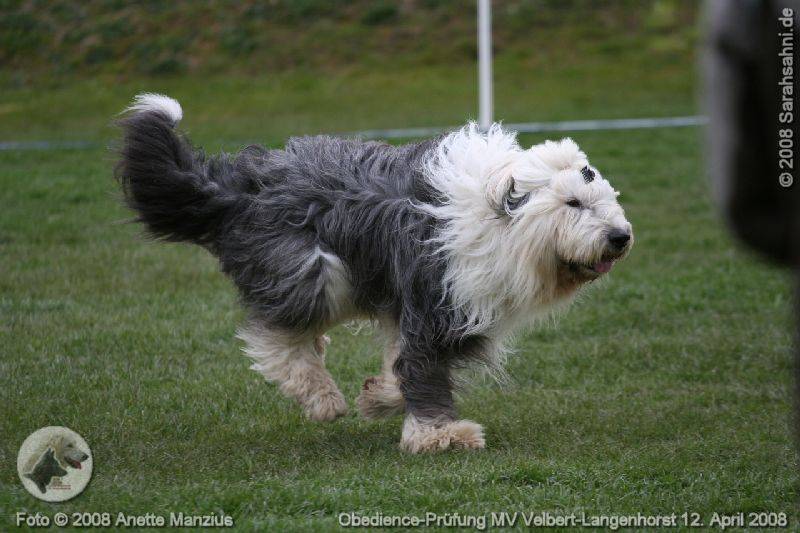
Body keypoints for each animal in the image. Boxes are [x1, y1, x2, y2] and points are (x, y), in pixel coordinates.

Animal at [115, 94, 632, 453]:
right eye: (573, 203)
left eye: (605, 199)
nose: (620, 237)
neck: (504, 222)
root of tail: (244, 184)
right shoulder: (436, 298)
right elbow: (421, 365)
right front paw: (439, 436)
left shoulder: (439, 309)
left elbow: (401, 362)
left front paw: (378, 396)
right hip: (312, 268)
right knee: (274, 337)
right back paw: (322, 397)